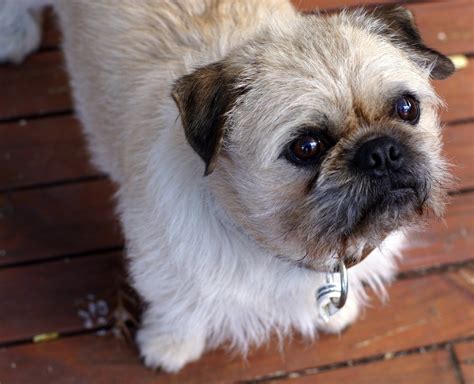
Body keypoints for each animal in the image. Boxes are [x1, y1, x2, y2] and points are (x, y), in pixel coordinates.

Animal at [0, 0, 456, 372]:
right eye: (307, 147)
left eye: (407, 108)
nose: (381, 151)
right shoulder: (163, 264)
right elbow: (176, 307)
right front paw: (169, 347)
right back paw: (14, 34)